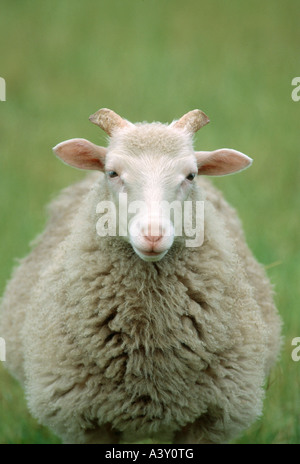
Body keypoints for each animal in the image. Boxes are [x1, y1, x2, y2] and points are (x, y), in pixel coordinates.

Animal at [0, 107, 282, 444]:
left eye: (191, 175)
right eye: (112, 173)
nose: (153, 235)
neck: (147, 342)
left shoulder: (208, 420)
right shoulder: (87, 421)